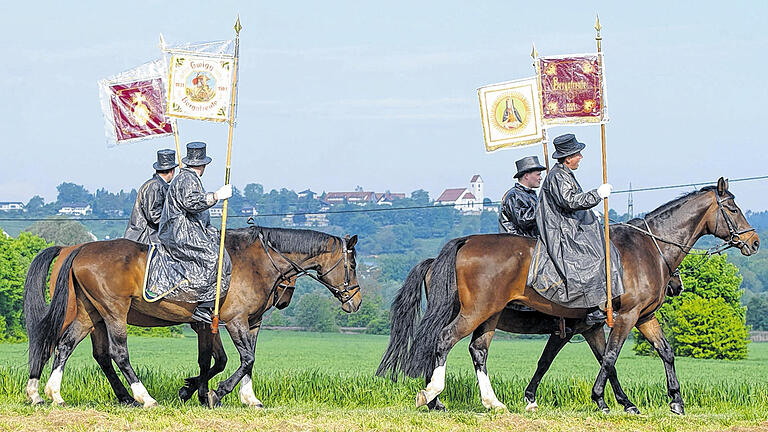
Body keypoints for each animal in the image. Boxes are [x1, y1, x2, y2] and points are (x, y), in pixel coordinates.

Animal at [24, 226, 360, 408]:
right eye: (353, 265)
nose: (355, 302)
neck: (257, 261)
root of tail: (78, 251)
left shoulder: (246, 323)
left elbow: (235, 360)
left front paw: (244, 397)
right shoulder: (233, 321)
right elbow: (243, 359)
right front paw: (214, 393)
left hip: (90, 314)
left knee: (66, 346)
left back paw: (50, 394)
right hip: (113, 312)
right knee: (116, 354)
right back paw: (143, 397)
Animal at [378, 256, 684, 412]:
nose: (676, 286)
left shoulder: (591, 328)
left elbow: (608, 362)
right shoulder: (573, 330)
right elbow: (553, 361)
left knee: (463, 349)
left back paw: (442, 400)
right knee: (443, 343)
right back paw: (435, 397)